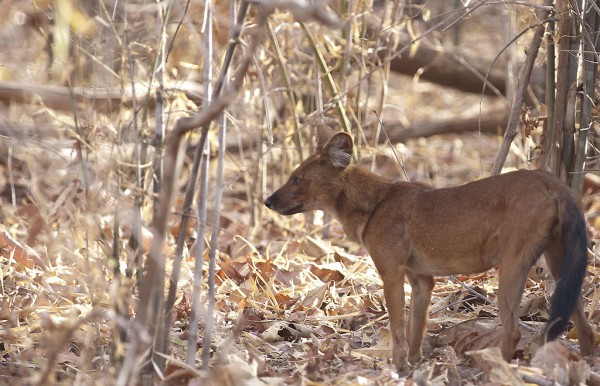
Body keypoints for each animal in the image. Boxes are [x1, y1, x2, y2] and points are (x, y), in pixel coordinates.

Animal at [266, 131, 596, 370]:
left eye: (296, 178)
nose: (268, 200)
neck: (374, 204)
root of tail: (555, 182)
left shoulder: (391, 272)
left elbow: (398, 327)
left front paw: (397, 368)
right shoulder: (421, 279)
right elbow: (417, 327)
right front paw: (414, 365)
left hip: (513, 263)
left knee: (514, 330)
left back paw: (495, 370)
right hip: (561, 260)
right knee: (584, 324)